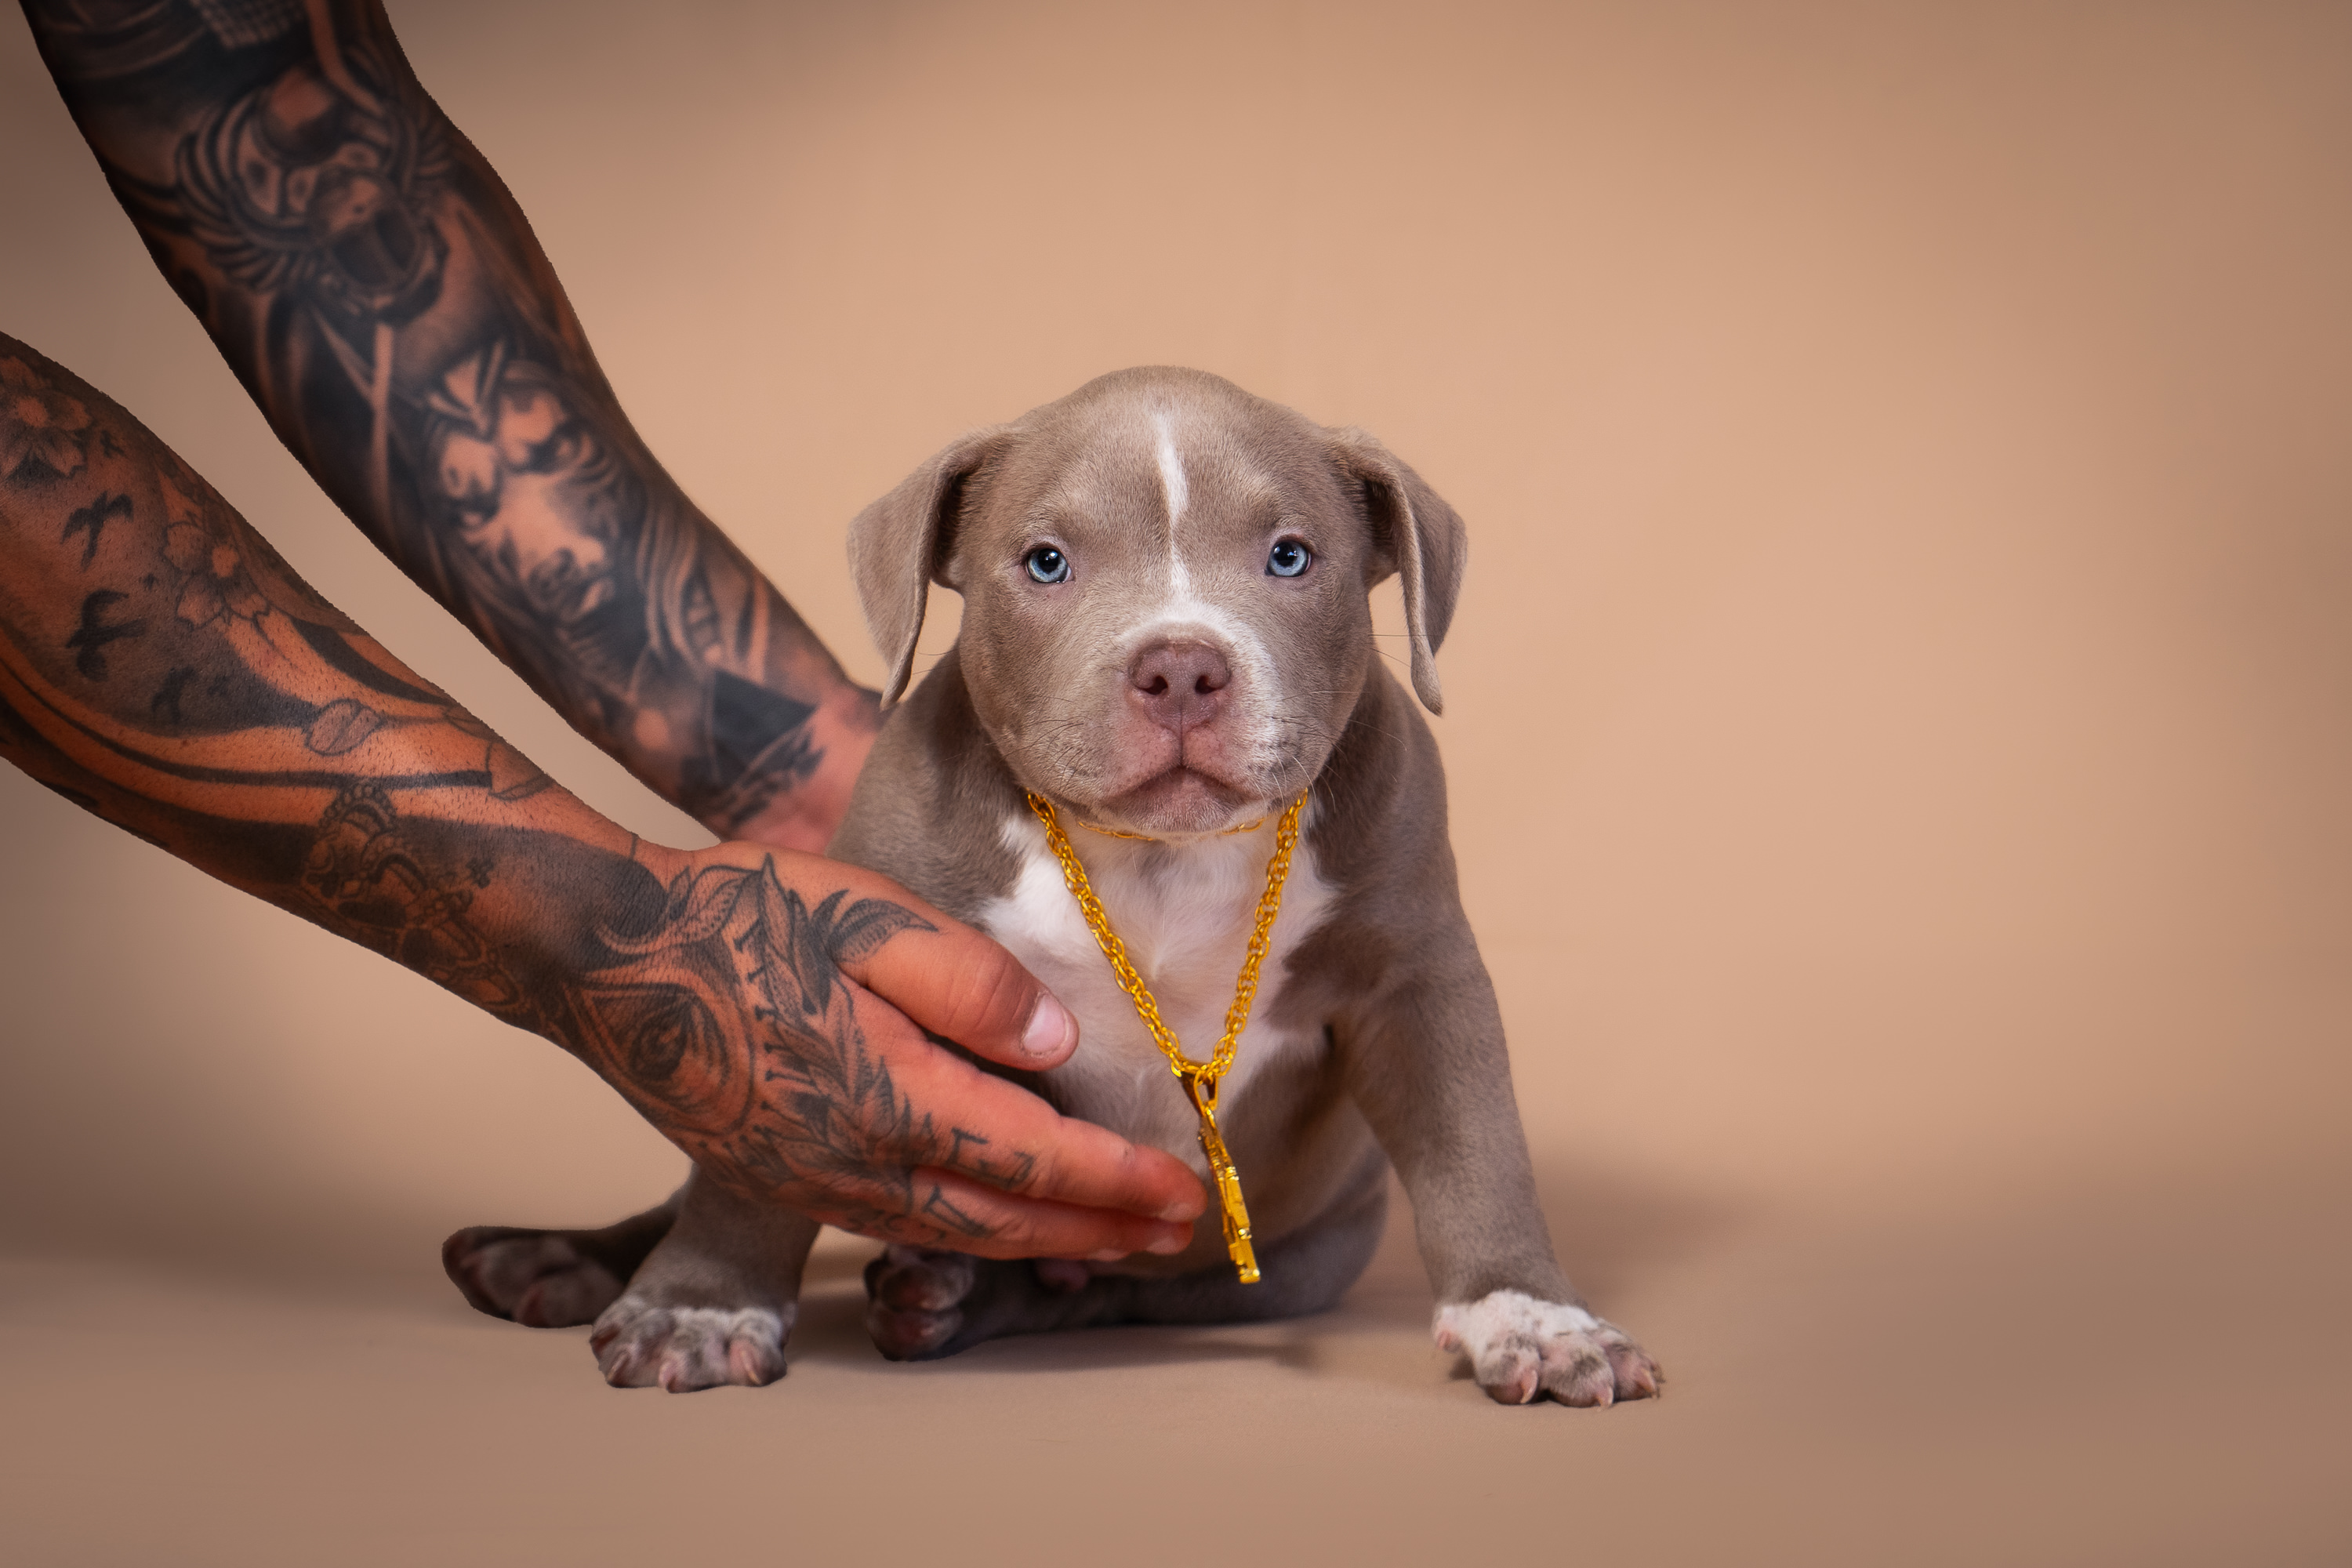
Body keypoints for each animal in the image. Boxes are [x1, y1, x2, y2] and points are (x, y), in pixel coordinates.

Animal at [446, 367, 1660, 1406]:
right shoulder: (818, 973)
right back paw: (560, 1258)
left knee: (1108, 1292)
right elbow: (758, 1156)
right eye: (1043, 564)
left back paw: (950, 1302)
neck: (1155, 854)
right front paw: (699, 1305)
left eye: (1288, 558)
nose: (1182, 666)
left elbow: (1476, 1147)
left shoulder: (1418, 975)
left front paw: (1534, 1317)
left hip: (1287, 1252)